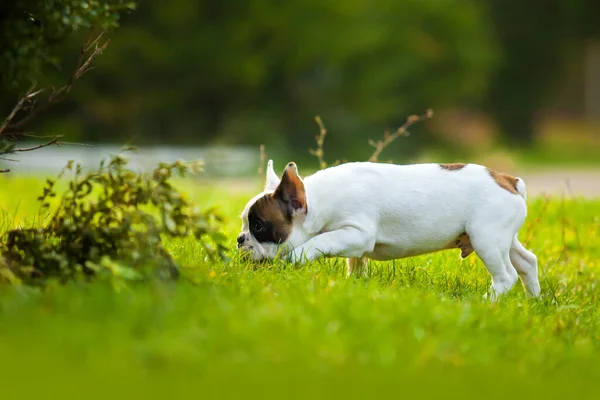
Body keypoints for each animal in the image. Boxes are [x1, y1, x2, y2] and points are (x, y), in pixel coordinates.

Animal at [237, 159, 540, 296]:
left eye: (259, 226)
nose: (240, 240)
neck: (316, 201)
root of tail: (509, 180)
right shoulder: (354, 246)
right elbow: (355, 265)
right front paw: (355, 283)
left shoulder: (356, 234)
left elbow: (319, 242)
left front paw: (296, 258)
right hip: (502, 239)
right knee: (526, 261)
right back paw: (532, 300)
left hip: (486, 239)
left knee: (506, 276)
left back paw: (488, 301)